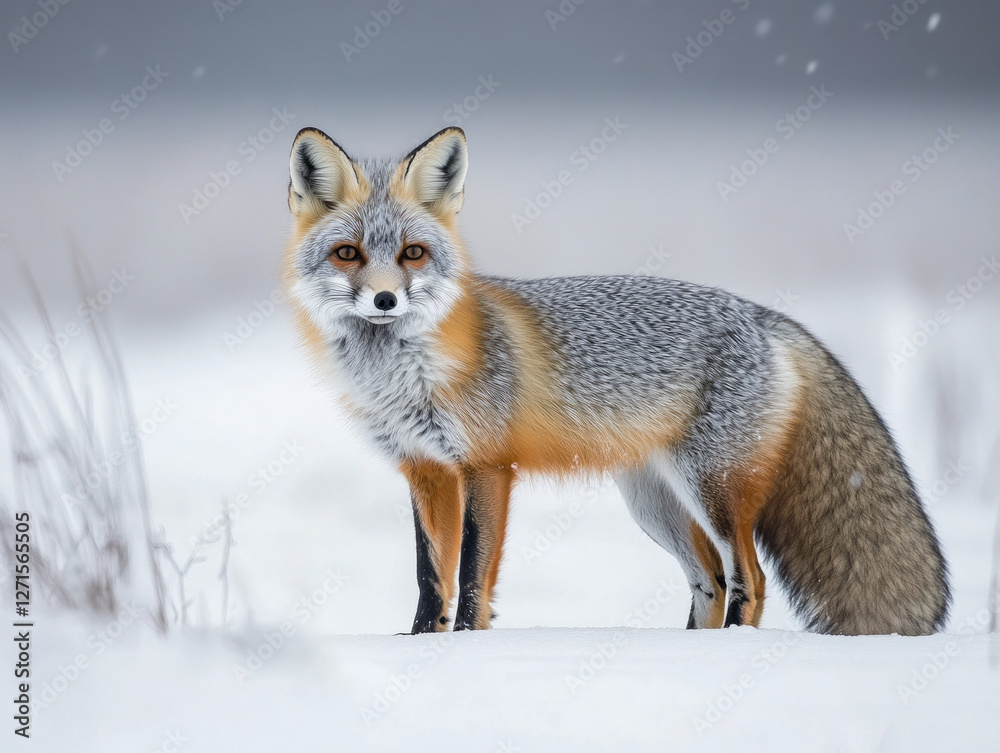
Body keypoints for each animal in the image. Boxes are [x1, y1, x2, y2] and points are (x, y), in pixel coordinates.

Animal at [282, 125, 950, 636]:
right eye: (348, 254)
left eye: (413, 253)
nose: (385, 300)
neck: (408, 376)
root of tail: (761, 313)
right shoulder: (424, 470)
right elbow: (431, 578)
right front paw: (421, 646)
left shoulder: (487, 468)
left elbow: (470, 577)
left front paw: (468, 645)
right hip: (653, 503)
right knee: (709, 580)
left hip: (713, 487)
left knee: (749, 579)